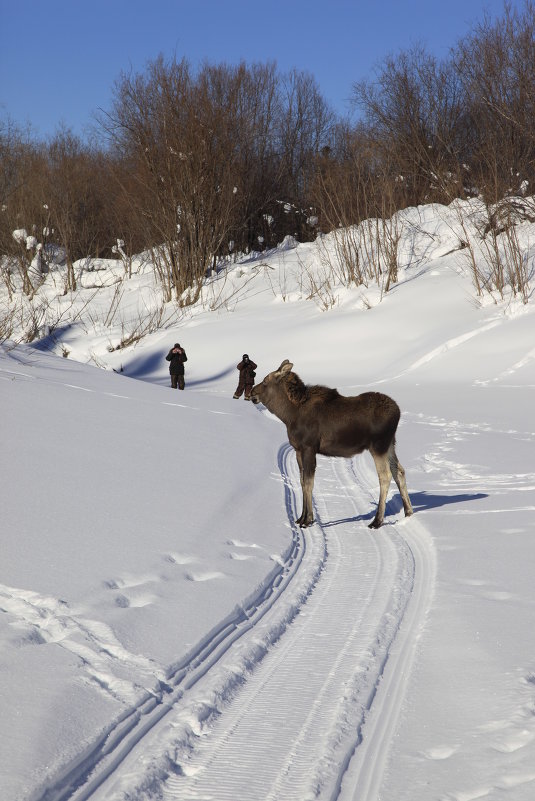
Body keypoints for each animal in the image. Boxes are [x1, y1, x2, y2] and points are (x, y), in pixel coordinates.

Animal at [251, 360, 414, 524]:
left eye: (265, 381)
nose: (251, 392)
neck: (288, 416)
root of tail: (398, 411)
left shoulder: (309, 447)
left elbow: (308, 483)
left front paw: (307, 519)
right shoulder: (298, 450)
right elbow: (302, 482)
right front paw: (301, 518)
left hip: (378, 445)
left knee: (385, 476)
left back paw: (377, 521)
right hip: (390, 444)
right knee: (399, 471)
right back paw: (408, 512)